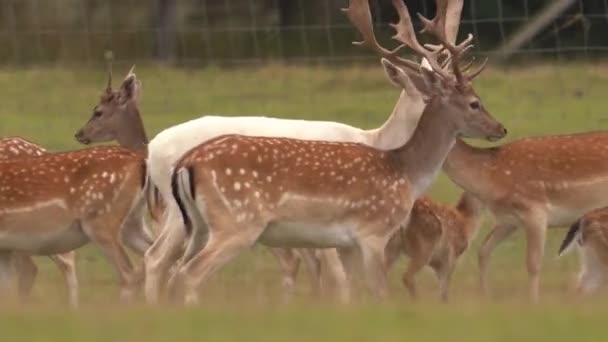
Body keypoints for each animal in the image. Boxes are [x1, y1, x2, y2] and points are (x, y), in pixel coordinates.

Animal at [164, 0, 506, 304]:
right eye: (475, 103)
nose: (501, 128)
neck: (403, 169)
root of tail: (186, 164)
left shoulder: (347, 243)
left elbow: (350, 289)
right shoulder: (371, 232)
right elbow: (376, 291)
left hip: (197, 226)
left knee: (172, 272)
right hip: (236, 222)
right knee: (188, 274)